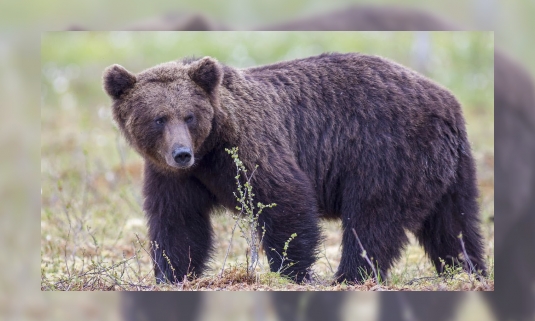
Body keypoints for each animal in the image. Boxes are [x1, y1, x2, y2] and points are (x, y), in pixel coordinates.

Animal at [102, 52, 488, 282]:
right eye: (158, 119)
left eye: (189, 116)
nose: (181, 153)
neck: (209, 149)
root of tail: (447, 101)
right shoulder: (174, 176)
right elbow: (178, 224)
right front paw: (173, 274)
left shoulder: (250, 145)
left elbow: (285, 199)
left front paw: (293, 272)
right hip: (449, 169)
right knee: (454, 225)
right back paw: (467, 271)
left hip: (386, 152)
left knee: (373, 219)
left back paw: (349, 276)